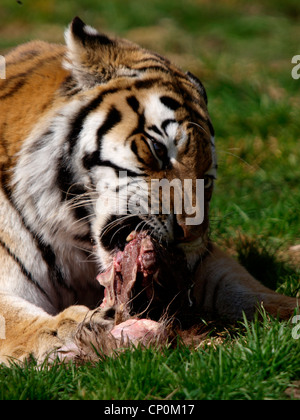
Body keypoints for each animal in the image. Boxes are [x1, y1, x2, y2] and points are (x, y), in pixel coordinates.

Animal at [0, 17, 298, 364]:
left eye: (207, 180)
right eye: (158, 149)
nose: (191, 234)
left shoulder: (202, 264)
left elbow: (245, 288)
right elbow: (15, 317)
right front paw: (73, 328)